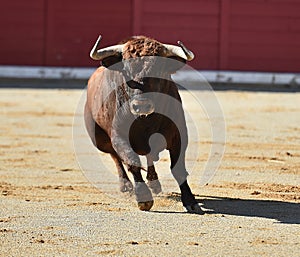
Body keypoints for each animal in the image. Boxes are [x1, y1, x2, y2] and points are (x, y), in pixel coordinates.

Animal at [84, 35, 202, 213]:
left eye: (159, 70)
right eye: (125, 71)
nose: (141, 106)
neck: (147, 121)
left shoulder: (179, 135)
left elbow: (178, 169)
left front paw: (190, 201)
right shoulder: (118, 136)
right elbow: (132, 161)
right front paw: (143, 198)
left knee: (149, 155)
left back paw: (154, 182)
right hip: (100, 140)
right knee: (115, 156)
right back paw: (126, 186)